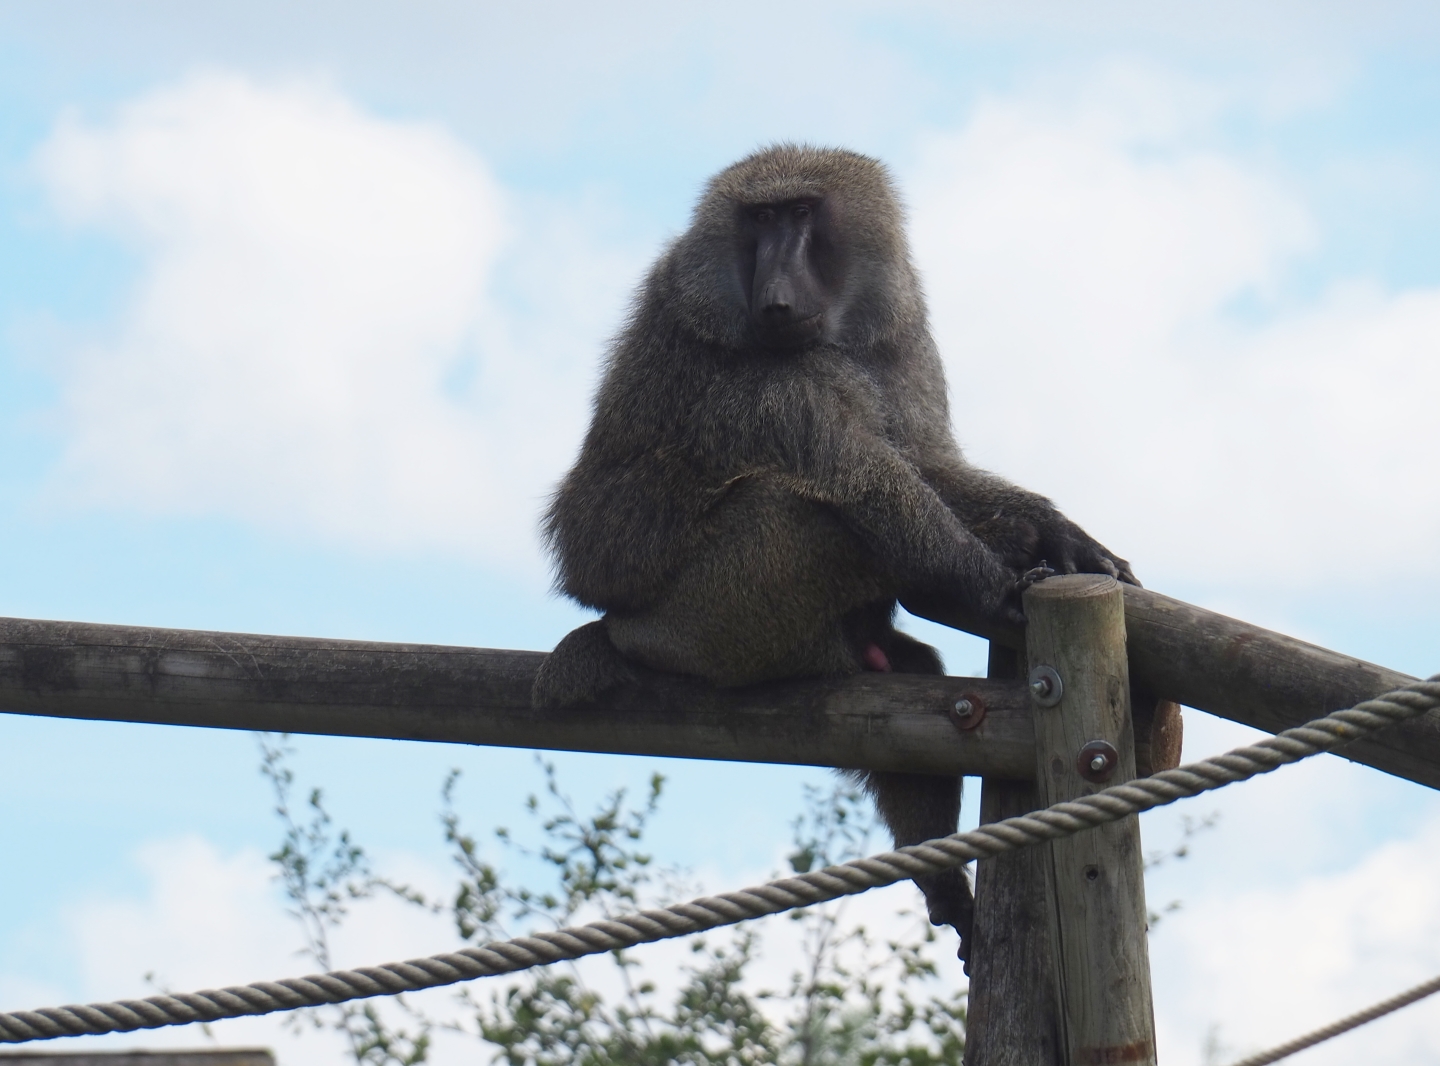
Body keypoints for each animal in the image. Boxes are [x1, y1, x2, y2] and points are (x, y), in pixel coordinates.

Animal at [532, 145, 1136, 965]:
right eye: (759, 219)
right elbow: (871, 481)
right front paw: (997, 590)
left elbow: (925, 459)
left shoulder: (899, 332)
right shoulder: (768, 380)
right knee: (808, 515)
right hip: (705, 622)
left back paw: (939, 876)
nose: (775, 299)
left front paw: (1058, 534)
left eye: (800, 214)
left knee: (914, 683)